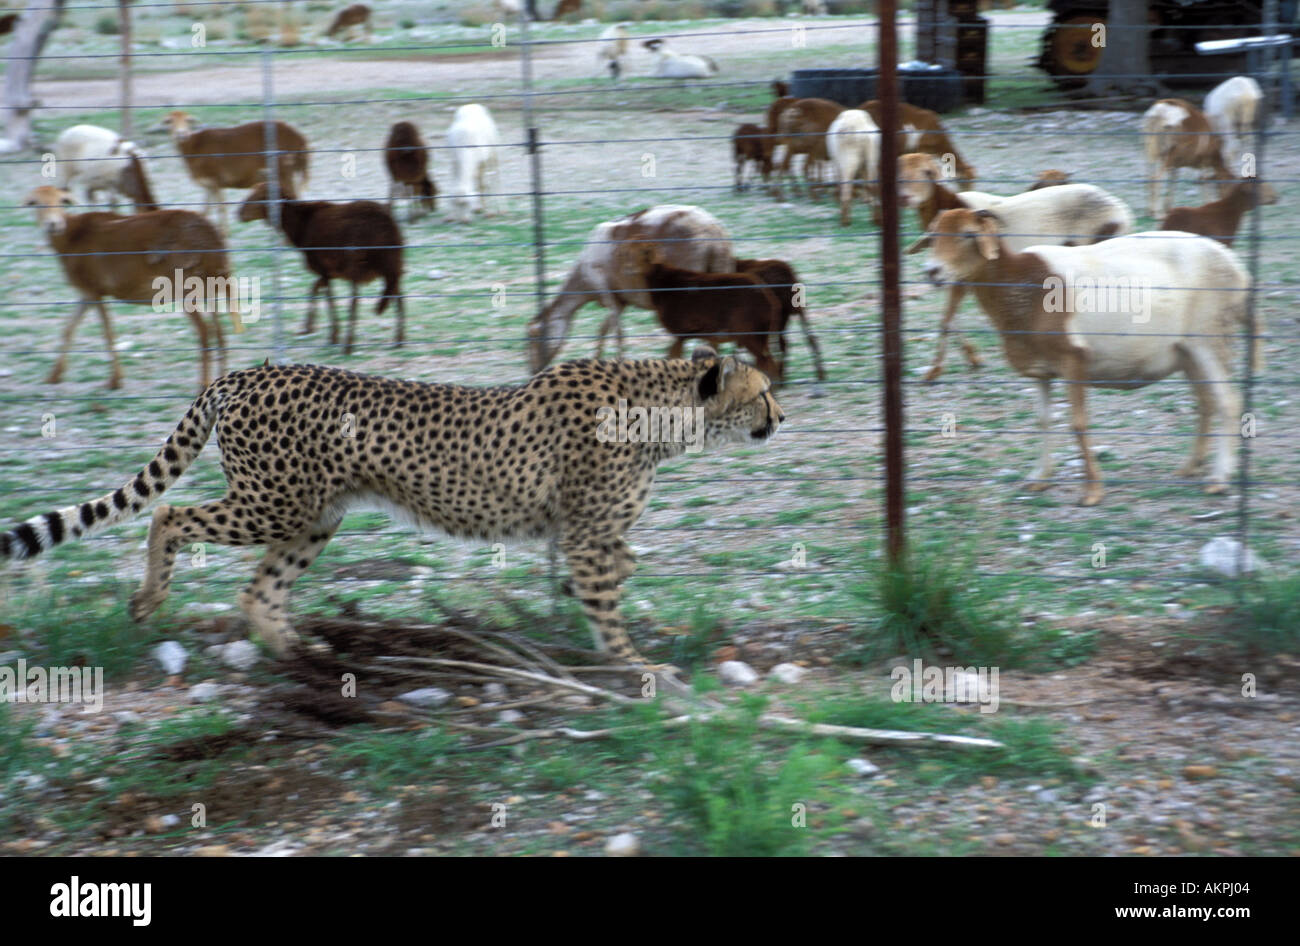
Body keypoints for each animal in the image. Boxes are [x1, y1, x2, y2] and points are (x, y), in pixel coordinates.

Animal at [2, 348, 780, 665]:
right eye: (764, 391)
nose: (783, 416)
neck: (664, 410)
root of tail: (245, 374)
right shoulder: (587, 538)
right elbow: (609, 608)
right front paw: (641, 673)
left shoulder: (591, 537)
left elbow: (619, 571)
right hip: (270, 503)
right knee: (171, 516)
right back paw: (148, 601)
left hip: (313, 517)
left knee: (259, 589)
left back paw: (296, 653)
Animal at [22, 187, 236, 392]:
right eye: (36, 203)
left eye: (61, 201)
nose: (53, 224)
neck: (71, 238)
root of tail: (214, 241)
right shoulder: (87, 293)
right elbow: (69, 328)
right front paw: (54, 376)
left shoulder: (94, 290)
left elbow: (107, 332)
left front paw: (114, 381)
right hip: (209, 287)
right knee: (220, 332)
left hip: (185, 289)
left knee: (205, 331)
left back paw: (204, 383)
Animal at [156, 111, 308, 235]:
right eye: (169, 121)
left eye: (188, 120)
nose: (181, 134)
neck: (194, 149)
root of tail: (301, 140)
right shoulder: (208, 184)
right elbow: (205, 210)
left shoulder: (217, 180)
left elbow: (221, 208)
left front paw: (224, 235)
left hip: (284, 172)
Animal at [236, 180, 403, 353]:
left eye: (261, 196)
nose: (238, 213)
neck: (300, 224)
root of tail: (389, 226)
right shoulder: (328, 272)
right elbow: (315, 288)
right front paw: (308, 327)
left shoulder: (323, 268)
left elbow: (328, 296)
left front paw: (333, 336)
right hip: (390, 263)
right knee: (398, 295)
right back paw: (399, 340)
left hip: (361, 263)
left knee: (356, 299)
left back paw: (348, 344)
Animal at [629, 241, 780, 382]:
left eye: (644, 252)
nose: (630, 269)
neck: (663, 284)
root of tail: (769, 299)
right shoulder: (683, 335)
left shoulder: (680, 332)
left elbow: (673, 358)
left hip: (750, 333)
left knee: (768, 364)